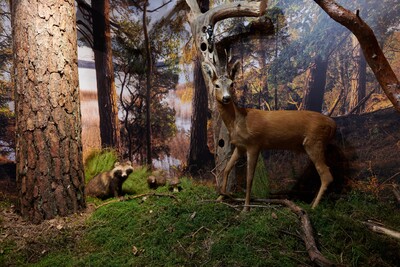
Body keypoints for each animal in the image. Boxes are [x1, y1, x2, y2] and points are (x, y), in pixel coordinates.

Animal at [202, 60, 336, 211]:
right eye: (216, 85)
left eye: (232, 84)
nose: (226, 98)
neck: (238, 121)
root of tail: (333, 124)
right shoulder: (240, 146)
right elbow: (226, 169)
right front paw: (221, 197)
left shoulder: (254, 144)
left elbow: (249, 178)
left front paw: (246, 208)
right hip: (317, 144)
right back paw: (311, 202)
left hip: (314, 142)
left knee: (326, 175)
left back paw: (313, 207)